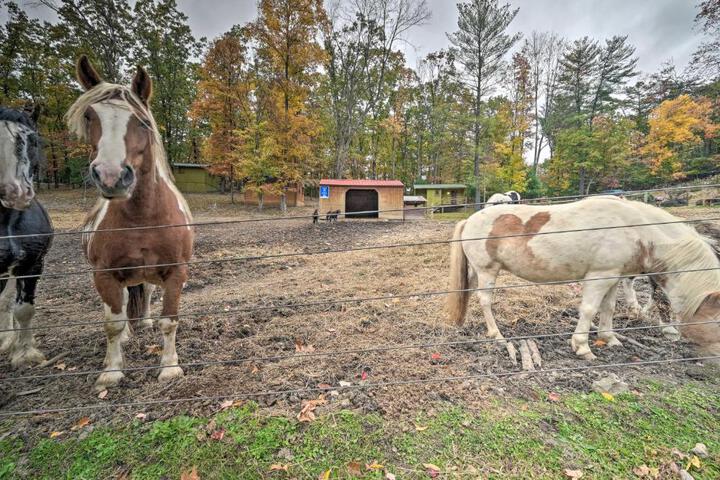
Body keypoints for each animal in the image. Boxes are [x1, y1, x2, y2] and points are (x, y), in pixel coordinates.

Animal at [67, 56, 194, 391]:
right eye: (89, 116)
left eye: (143, 122)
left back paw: (145, 322)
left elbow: (169, 320)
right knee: (120, 305)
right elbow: (112, 323)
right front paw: (112, 371)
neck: (141, 219)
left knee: (145, 292)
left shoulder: (176, 271)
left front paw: (169, 367)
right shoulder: (104, 273)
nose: (111, 176)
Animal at [445, 196, 720, 364]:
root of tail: (470, 219)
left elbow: (608, 308)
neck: (635, 229)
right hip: (487, 271)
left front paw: (610, 338)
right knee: (485, 301)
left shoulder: (613, 276)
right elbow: (589, 310)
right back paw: (497, 335)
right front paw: (582, 346)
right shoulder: (599, 276)